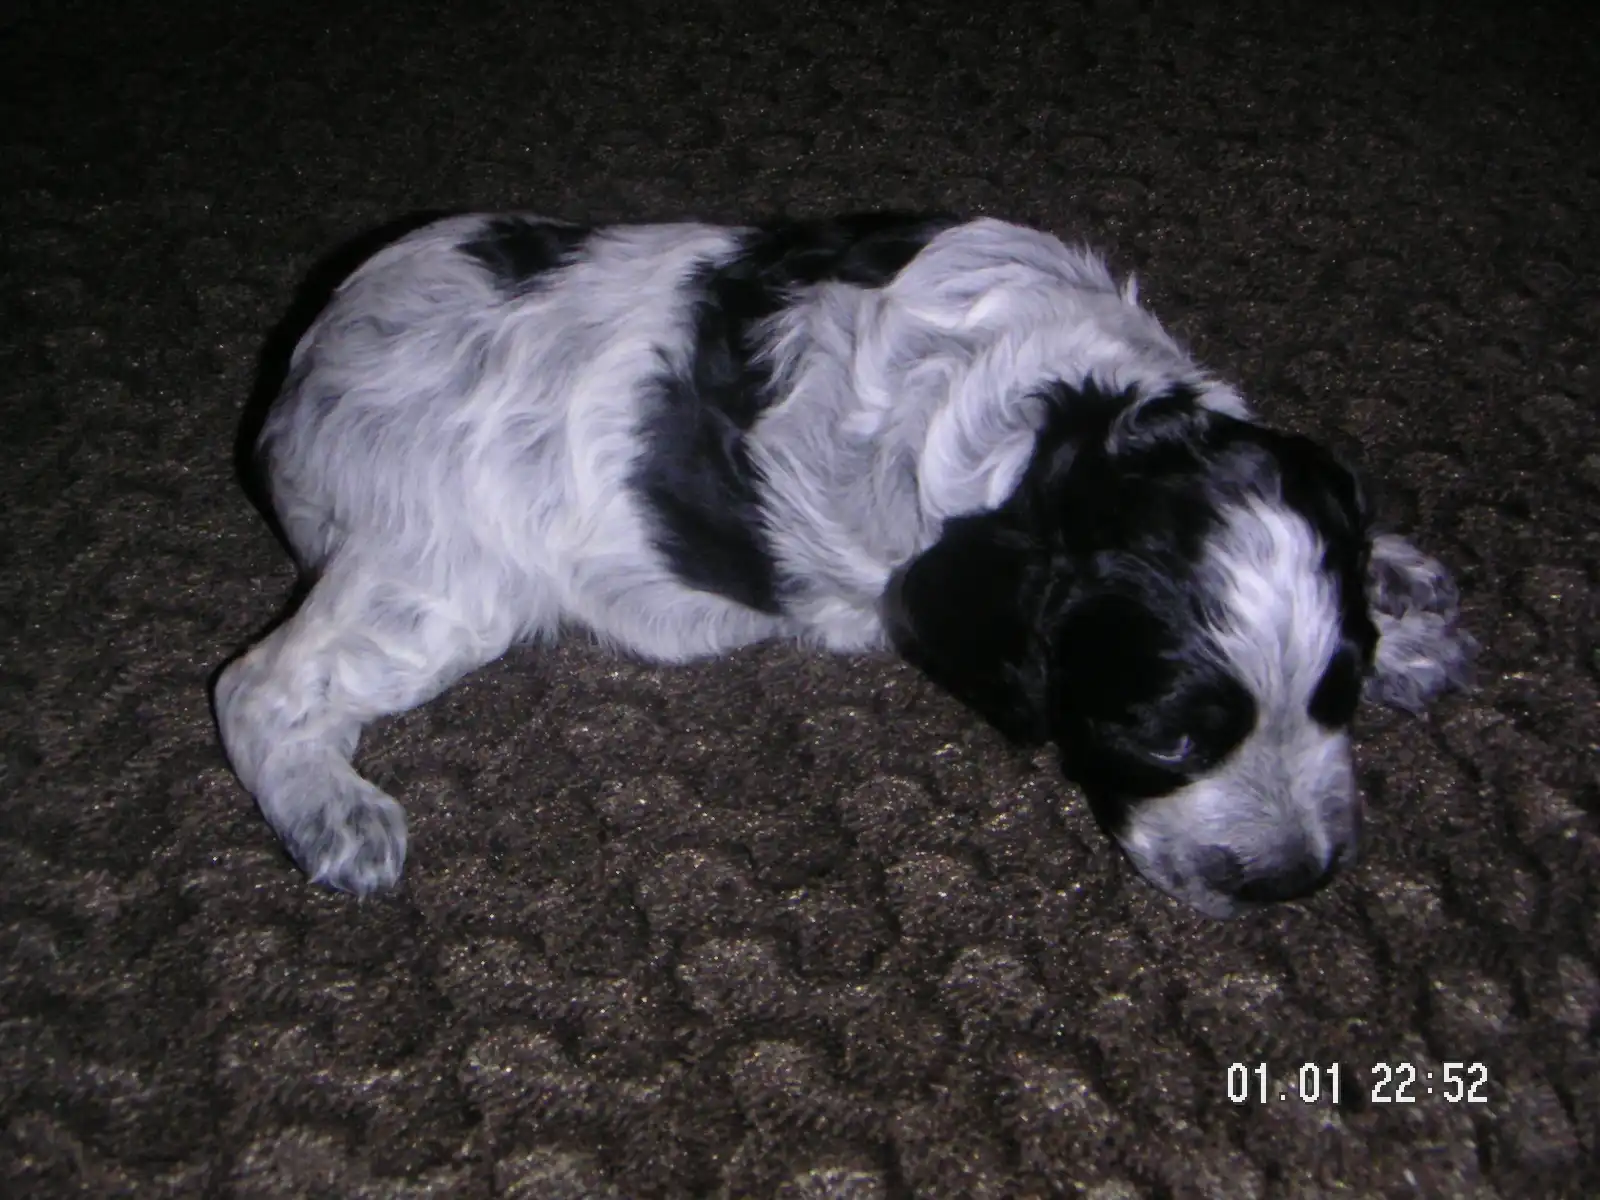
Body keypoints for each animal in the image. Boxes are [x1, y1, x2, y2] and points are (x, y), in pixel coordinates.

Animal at [215, 211, 1476, 918]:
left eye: (1337, 698)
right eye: (1163, 739)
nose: (1297, 879)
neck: (1068, 412)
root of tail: (300, 368)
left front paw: (1404, 596)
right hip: (438, 581)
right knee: (256, 686)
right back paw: (335, 819)